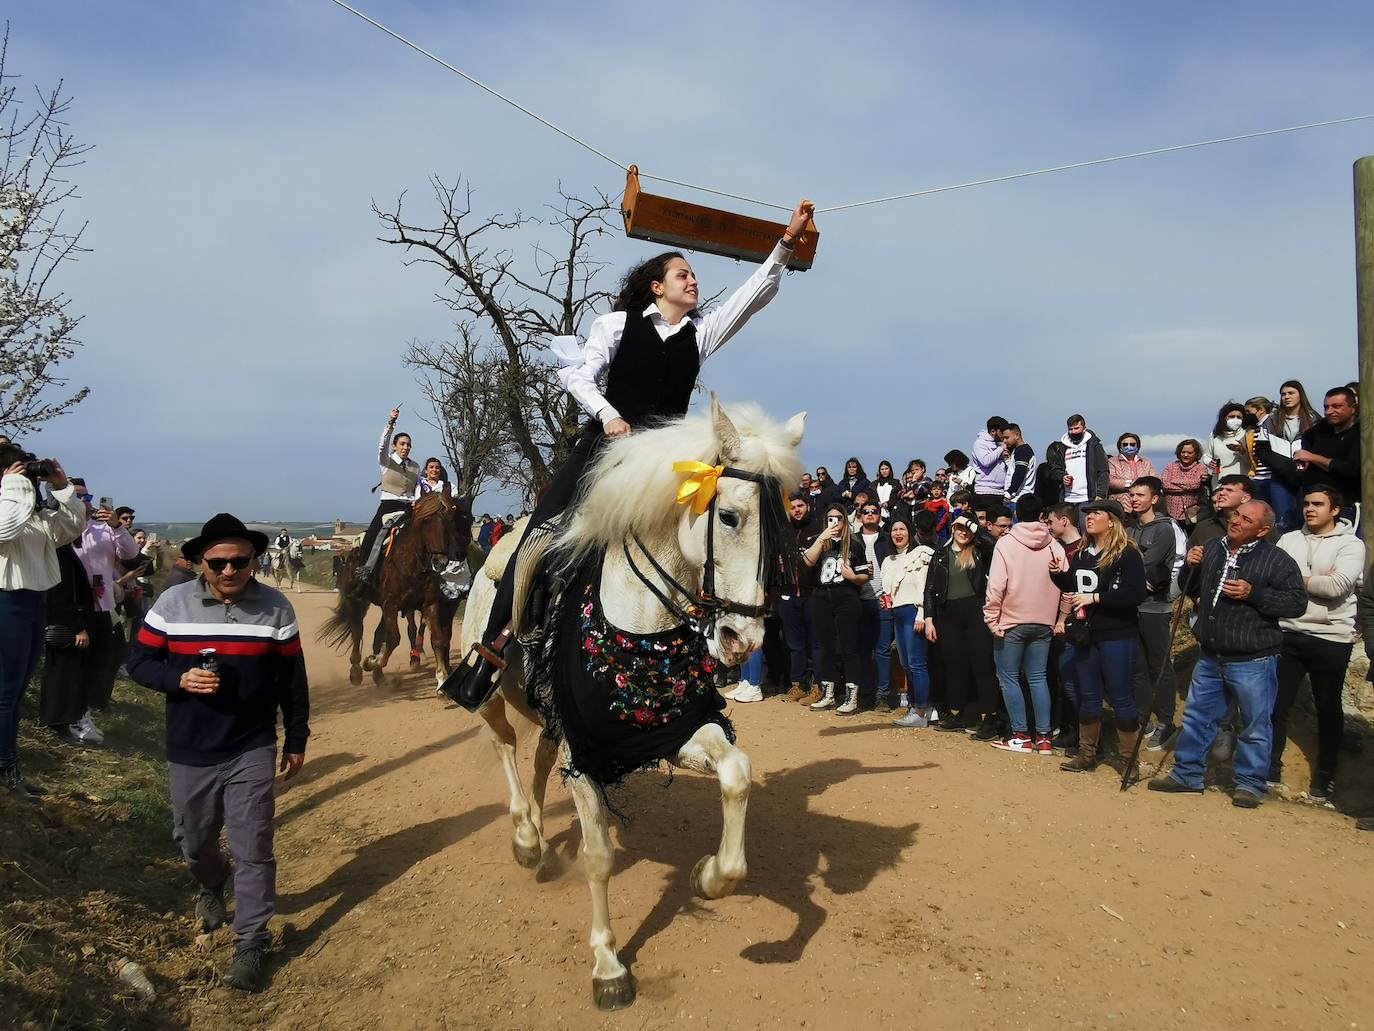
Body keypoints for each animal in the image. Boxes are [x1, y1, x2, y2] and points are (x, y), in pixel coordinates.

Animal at [320, 492, 472, 687]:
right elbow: (393, 639)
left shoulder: (430, 605)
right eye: (426, 521)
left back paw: (378, 675)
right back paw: (356, 671)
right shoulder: (391, 604)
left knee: (377, 635)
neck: (412, 564)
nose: (441, 560)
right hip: (358, 601)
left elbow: (438, 639)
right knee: (357, 630)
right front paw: (371, 661)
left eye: (450, 519)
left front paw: (442, 678)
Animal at [461, 398, 802, 1011]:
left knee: (539, 759)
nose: (744, 640)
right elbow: (598, 856)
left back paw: (542, 843)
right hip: (492, 696)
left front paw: (708, 877)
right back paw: (525, 837)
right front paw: (608, 966)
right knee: (504, 747)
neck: (637, 627)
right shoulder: (586, 754)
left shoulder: (668, 731)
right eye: (730, 517)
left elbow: (736, 775)